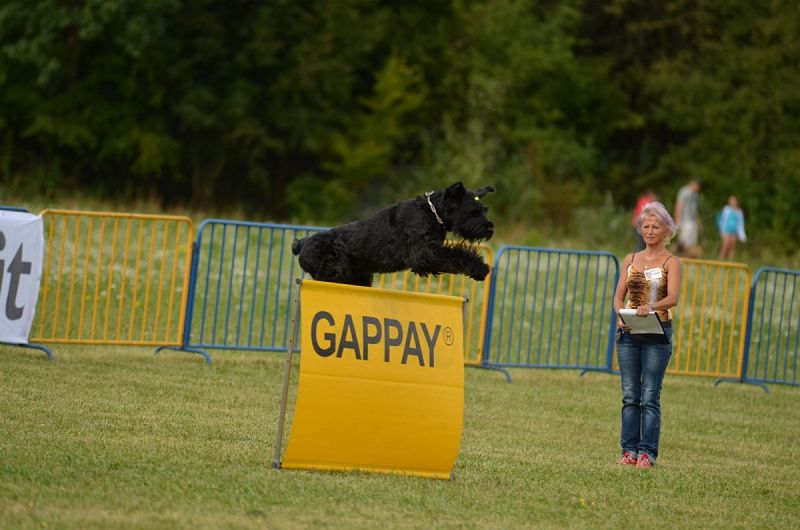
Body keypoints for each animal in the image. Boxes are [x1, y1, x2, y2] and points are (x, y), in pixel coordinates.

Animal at [290, 183, 496, 288]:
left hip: (359, 277)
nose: (490, 229)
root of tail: (302, 243)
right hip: (334, 272)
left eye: (484, 210)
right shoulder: (424, 253)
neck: (434, 212)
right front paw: (479, 268)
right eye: (473, 212)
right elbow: (457, 254)